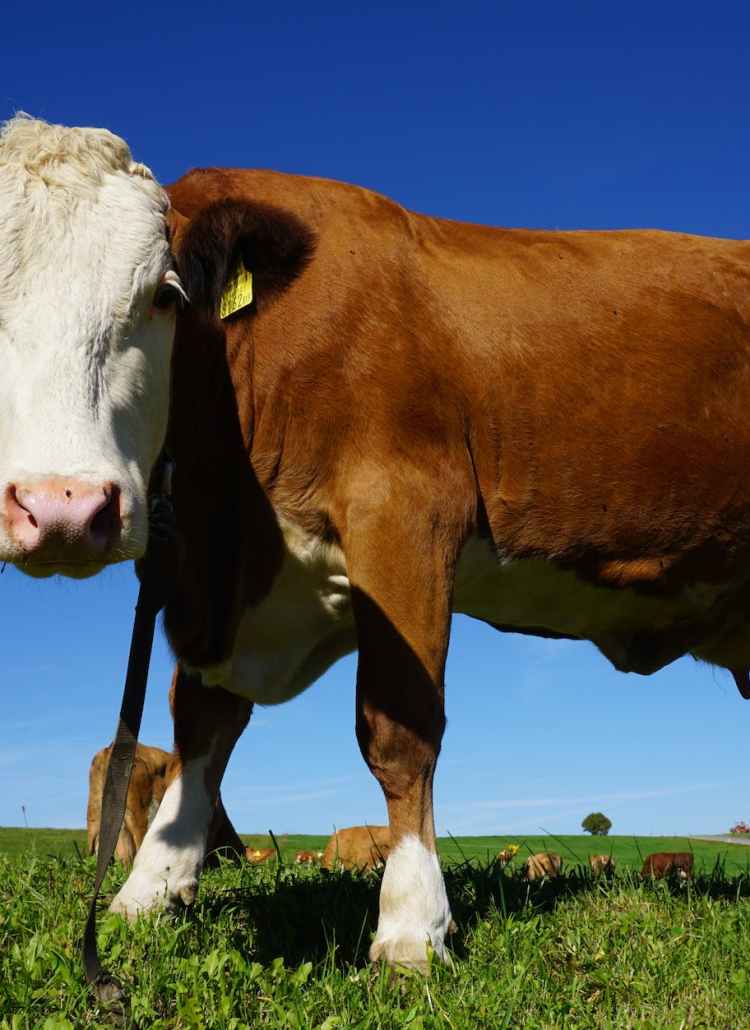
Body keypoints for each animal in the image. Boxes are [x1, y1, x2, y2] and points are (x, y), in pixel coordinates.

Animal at [3, 115, 750, 972]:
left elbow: (398, 729)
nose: (63, 508)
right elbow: (200, 728)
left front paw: (412, 925)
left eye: (163, 295)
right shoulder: (218, 585)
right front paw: (148, 892)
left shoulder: (405, 513)